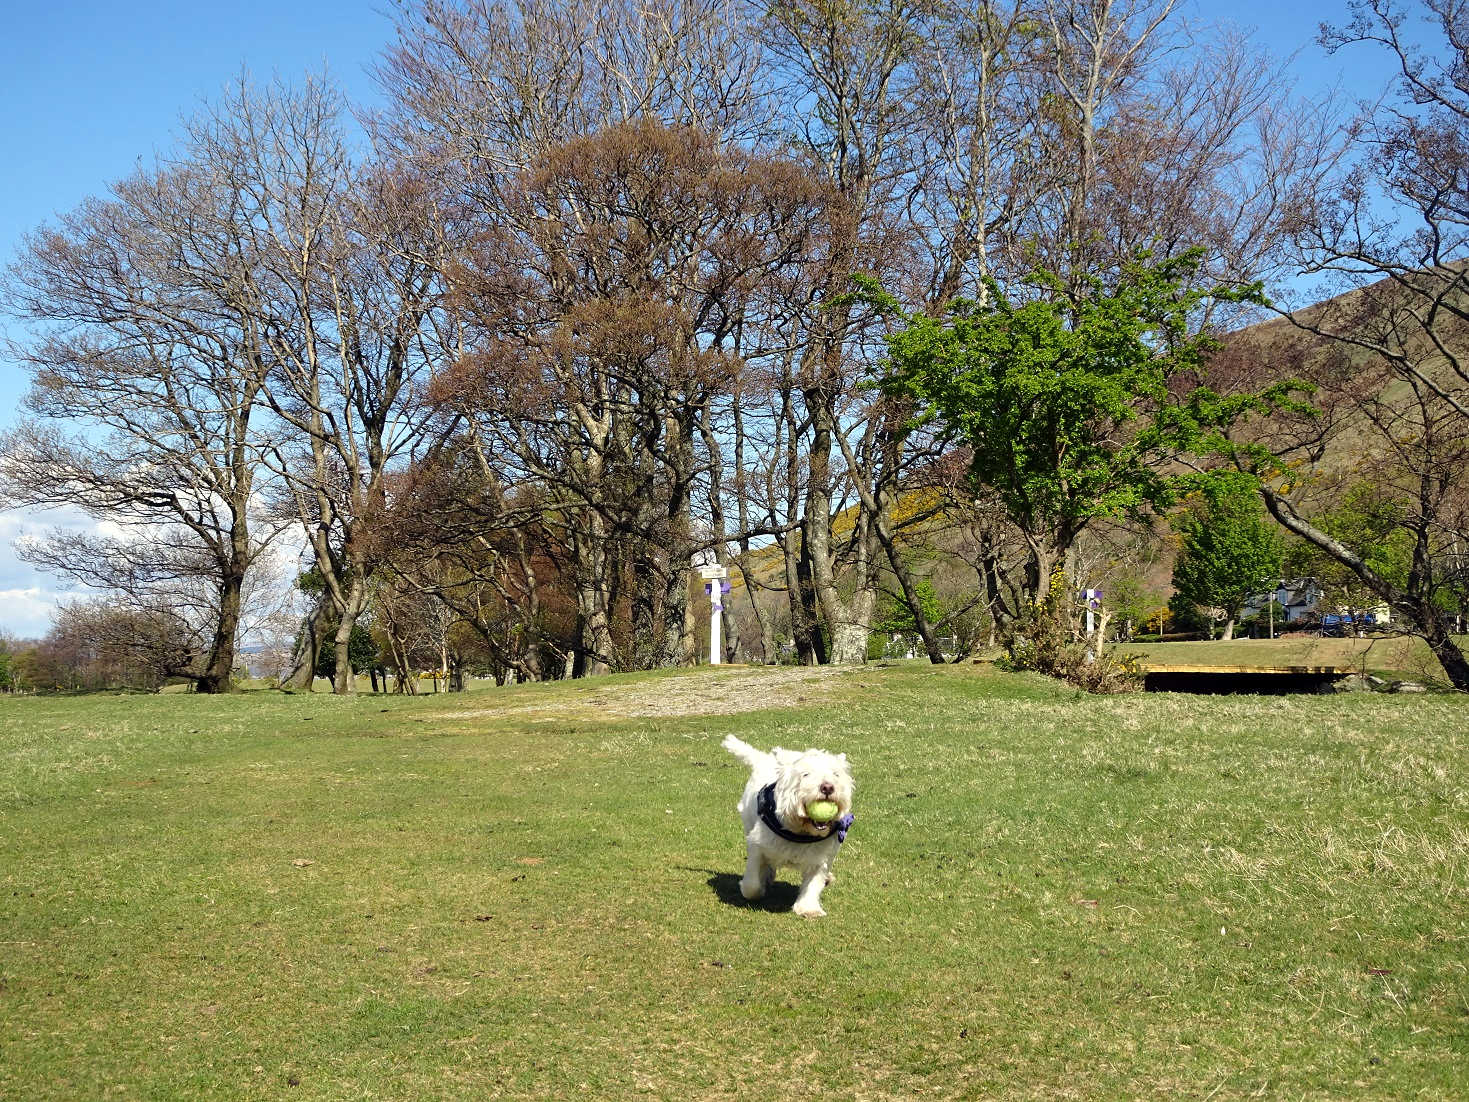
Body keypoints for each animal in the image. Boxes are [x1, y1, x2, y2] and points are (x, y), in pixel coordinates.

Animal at [719, 737, 857, 916]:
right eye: (805, 774)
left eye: (836, 774)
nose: (827, 787)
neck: (800, 831)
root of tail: (764, 759)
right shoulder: (757, 846)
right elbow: (752, 884)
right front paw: (756, 889)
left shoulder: (820, 858)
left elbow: (813, 884)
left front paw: (809, 909)